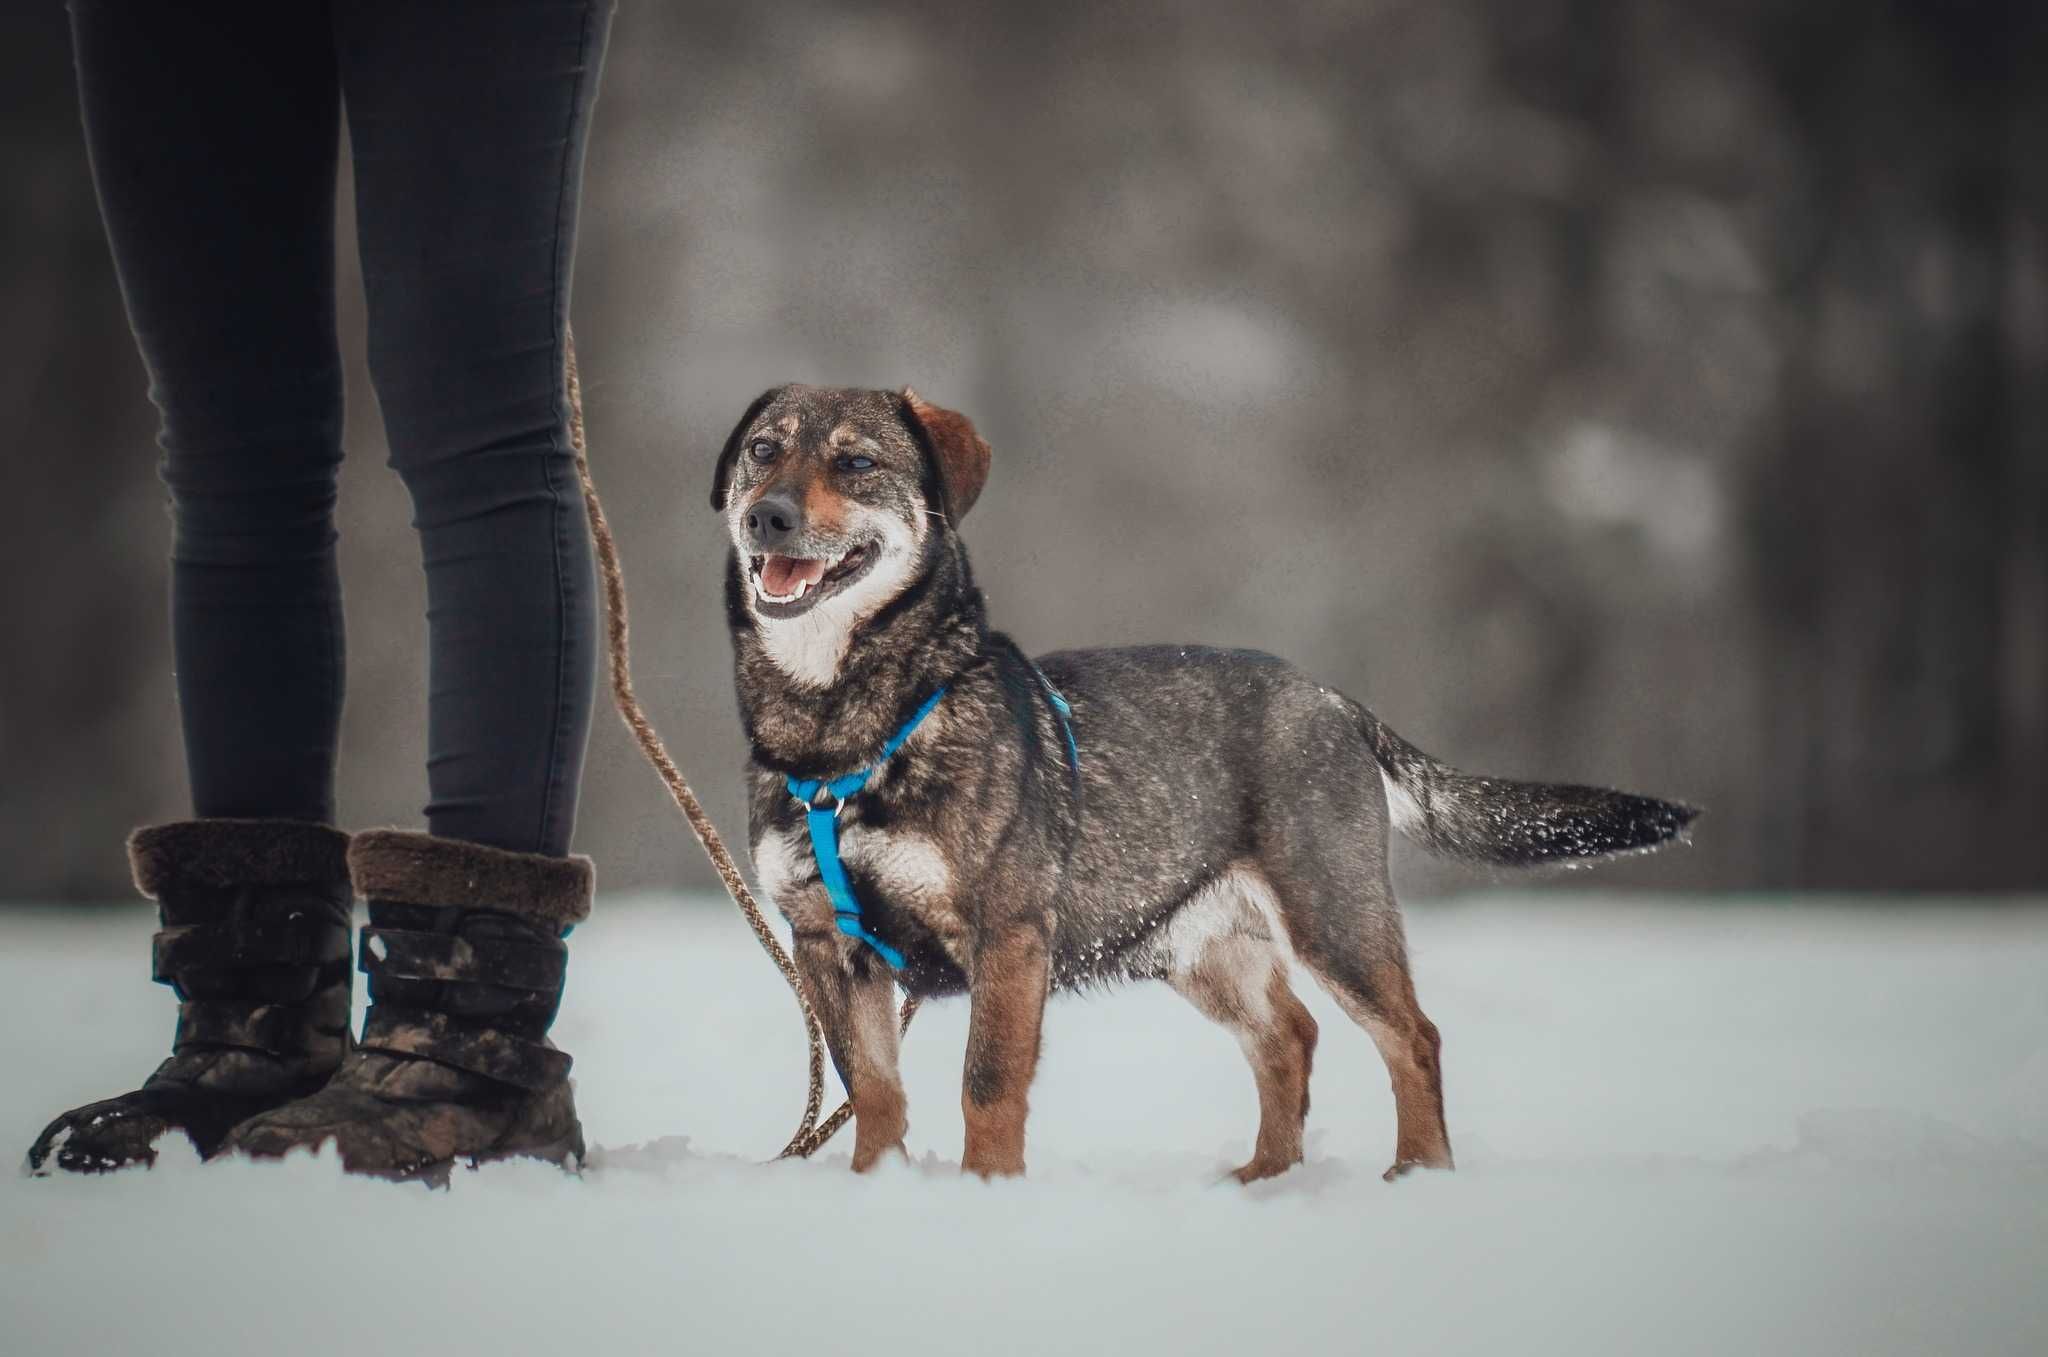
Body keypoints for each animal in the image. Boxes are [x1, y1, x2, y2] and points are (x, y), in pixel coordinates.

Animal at [712, 386, 1687, 1187]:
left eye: (856, 462)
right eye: (763, 449)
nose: (766, 517)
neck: (842, 735)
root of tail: (1329, 697)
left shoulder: (1008, 934)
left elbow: (986, 1081)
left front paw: (987, 1195)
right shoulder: (826, 944)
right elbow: (876, 1093)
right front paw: (879, 1192)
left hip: (1332, 913)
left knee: (1411, 1034)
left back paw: (1417, 1172)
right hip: (1195, 944)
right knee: (1290, 1037)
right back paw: (1265, 1177)